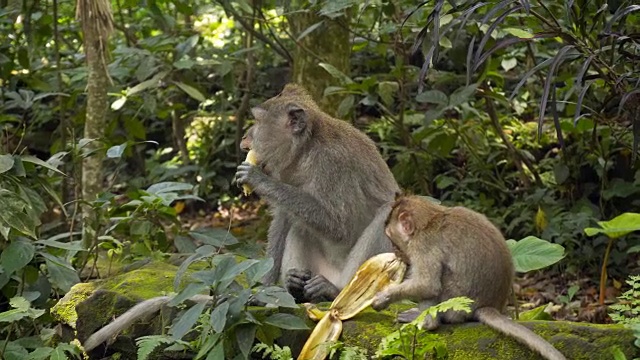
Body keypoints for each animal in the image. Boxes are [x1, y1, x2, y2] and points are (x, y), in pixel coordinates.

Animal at [235, 83, 400, 300]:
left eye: (258, 122)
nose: (245, 137)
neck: (307, 149)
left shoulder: (333, 163)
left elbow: (339, 226)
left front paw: (257, 178)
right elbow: (283, 217)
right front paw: (263, 287)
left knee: (387, 212)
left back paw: (335, 291)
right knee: (299, 224)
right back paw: (296, 287)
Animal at [372, 195, 568, 360]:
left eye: (391, 238)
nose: (396, 252)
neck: (429, 220)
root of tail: (488, 306)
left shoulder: (423, 245)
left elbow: (427, 285)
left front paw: (383, 297)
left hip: (454, 306)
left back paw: (427, 323)